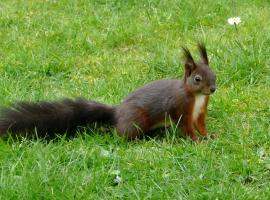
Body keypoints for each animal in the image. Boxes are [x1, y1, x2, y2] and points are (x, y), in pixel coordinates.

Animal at [0, 43, 216, 141]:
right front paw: (197, 141)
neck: (197, 97)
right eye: (197, 79)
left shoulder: (200, 110)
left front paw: (209, 135)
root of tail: (117, 113)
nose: (213, 89)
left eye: (215, 74)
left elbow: (200, 124)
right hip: (137, 119)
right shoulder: (180, 106)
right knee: (120, 133)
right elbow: (186, 127)